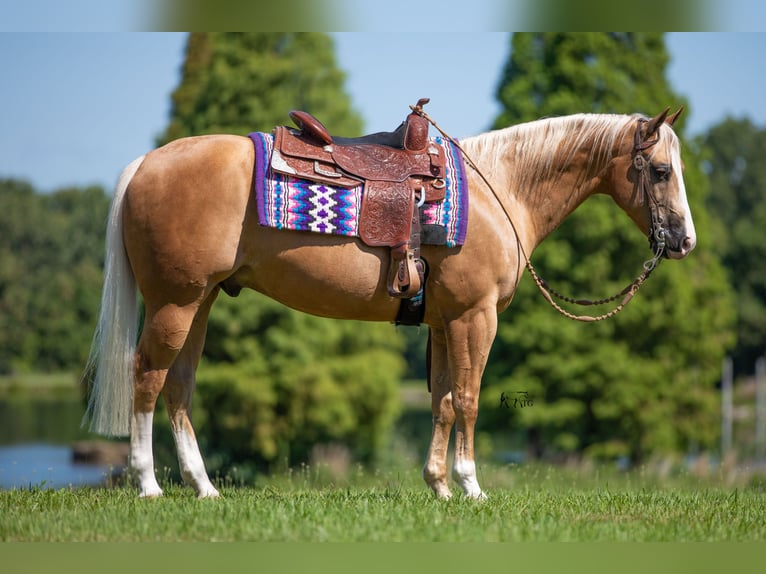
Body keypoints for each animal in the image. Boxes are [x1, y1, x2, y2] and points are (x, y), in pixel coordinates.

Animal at [84, 107, 696, 500]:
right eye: (660, 170)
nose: (684, 241)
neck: (499, 190)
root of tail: (146, 163)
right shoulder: (476, 316)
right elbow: (469, 399)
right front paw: (471, 487)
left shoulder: (446, 321)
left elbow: (443, 401)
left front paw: (439, 486)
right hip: (175, 303)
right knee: (146, 378)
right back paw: (147, 484)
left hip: (201, 302)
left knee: (179, 387)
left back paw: (204, 487)